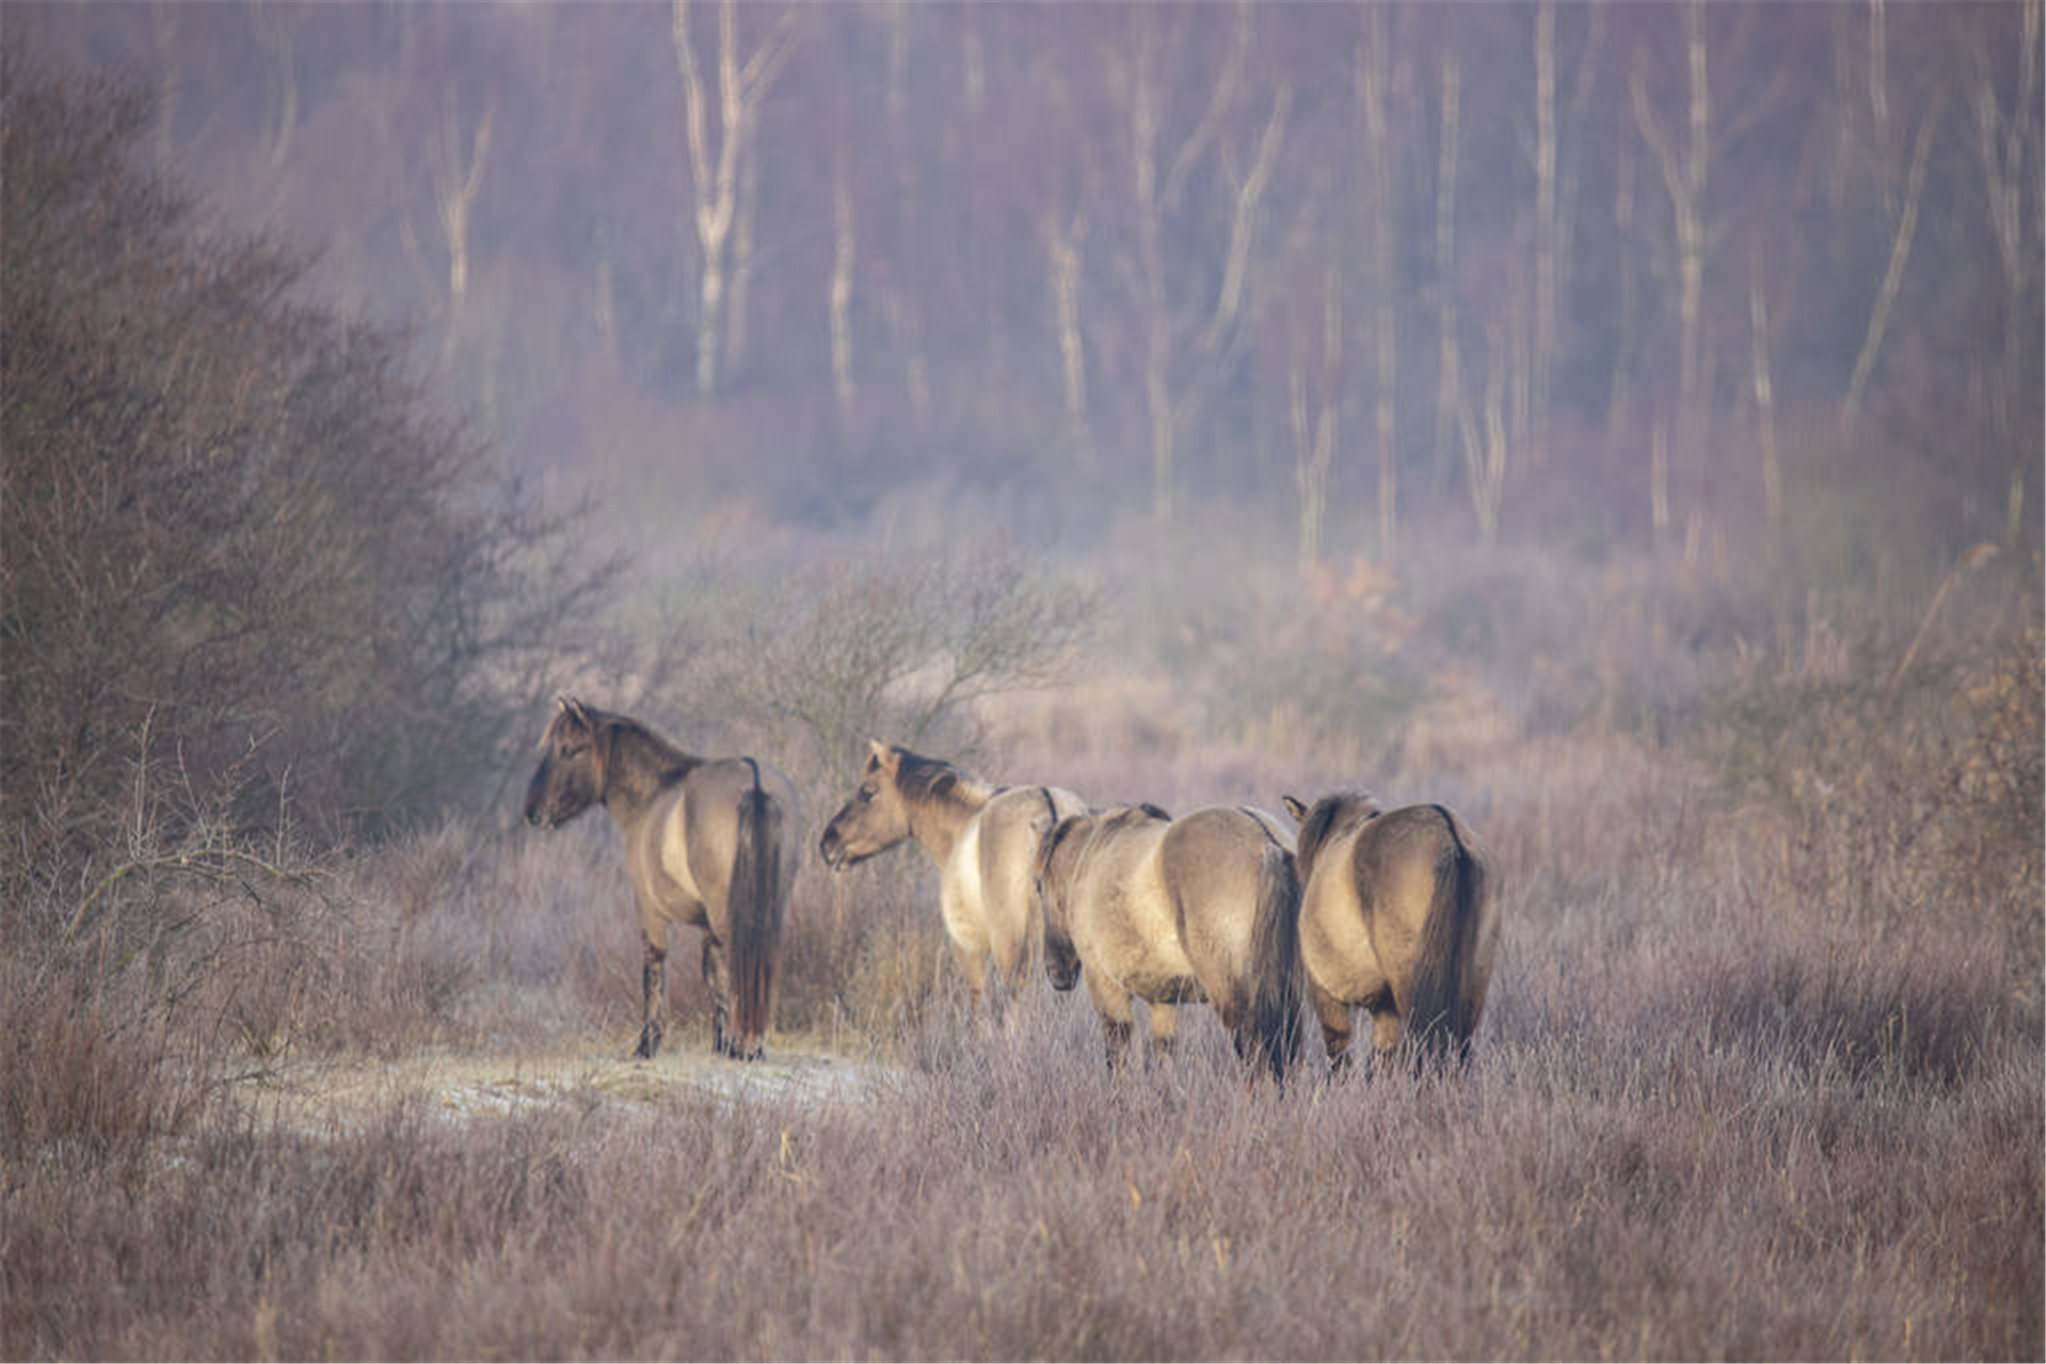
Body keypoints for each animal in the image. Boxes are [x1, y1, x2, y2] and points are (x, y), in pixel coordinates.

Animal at [523, 699, 793, 1063]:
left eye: (570, 749)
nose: (533, 811)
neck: (651, 795)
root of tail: (755, 785)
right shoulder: (707, 927)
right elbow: (713, 976)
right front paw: (720, 1043)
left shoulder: (649, 910)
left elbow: (654, 969)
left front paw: (647, 1044)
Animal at [814, 740, 1088, 1018]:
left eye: (868, 792)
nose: (827, 843)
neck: (961, 825)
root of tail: (1050, 810)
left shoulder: (969, 950)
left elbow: (978, 1005)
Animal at [1031, 801, 1301, 1079]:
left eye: (1039, 886)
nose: (1056, 971)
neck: (1092, 856)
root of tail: (1266, 841)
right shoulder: (1163, 1001)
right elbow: (1164, 1062)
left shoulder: (1106, 989)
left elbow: (1118, 1057)